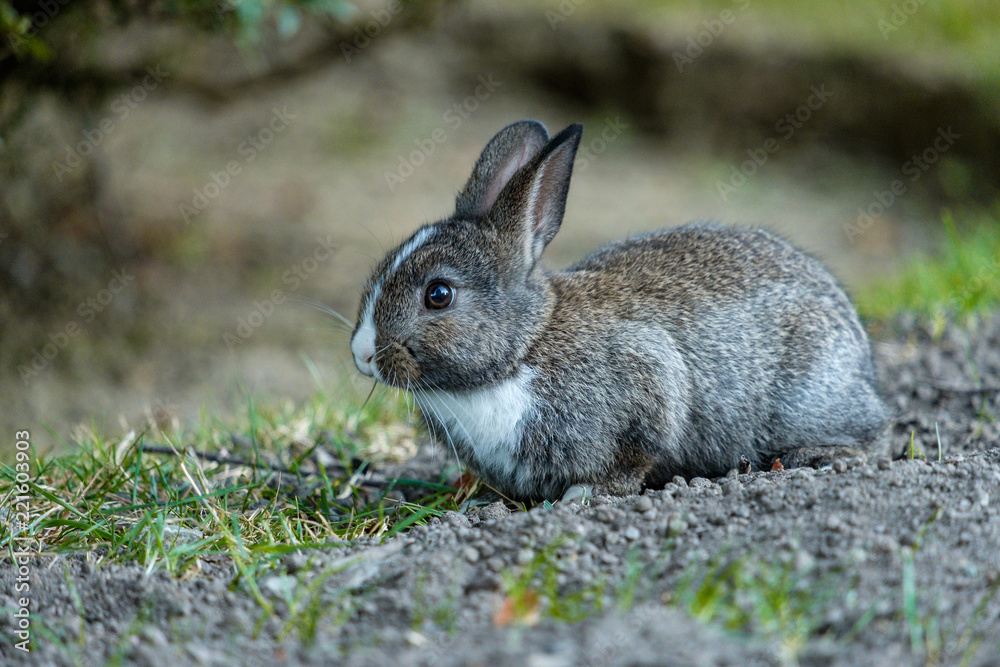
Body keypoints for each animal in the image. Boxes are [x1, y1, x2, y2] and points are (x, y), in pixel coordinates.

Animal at [350, 119, 890, 502]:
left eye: (438, 294)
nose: (362, 354)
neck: (525, 346)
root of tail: (861, 361)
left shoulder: (649, 384)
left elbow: (634, 457)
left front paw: (583, 494)